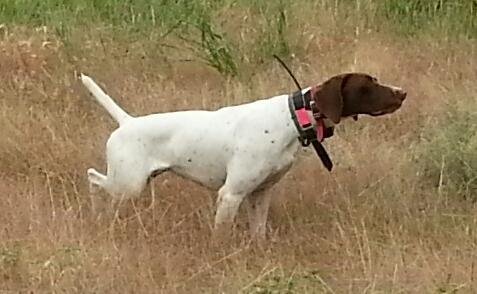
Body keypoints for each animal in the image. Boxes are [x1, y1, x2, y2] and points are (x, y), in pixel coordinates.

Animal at [79, 72, 406, 238]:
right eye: (368, 85)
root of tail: (127, 121)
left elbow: (258, 233)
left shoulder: (260, 193)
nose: (403, 92)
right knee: (93, 178)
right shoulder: (231, 194)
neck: (293, 117)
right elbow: (221, 236)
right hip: (129, 184)